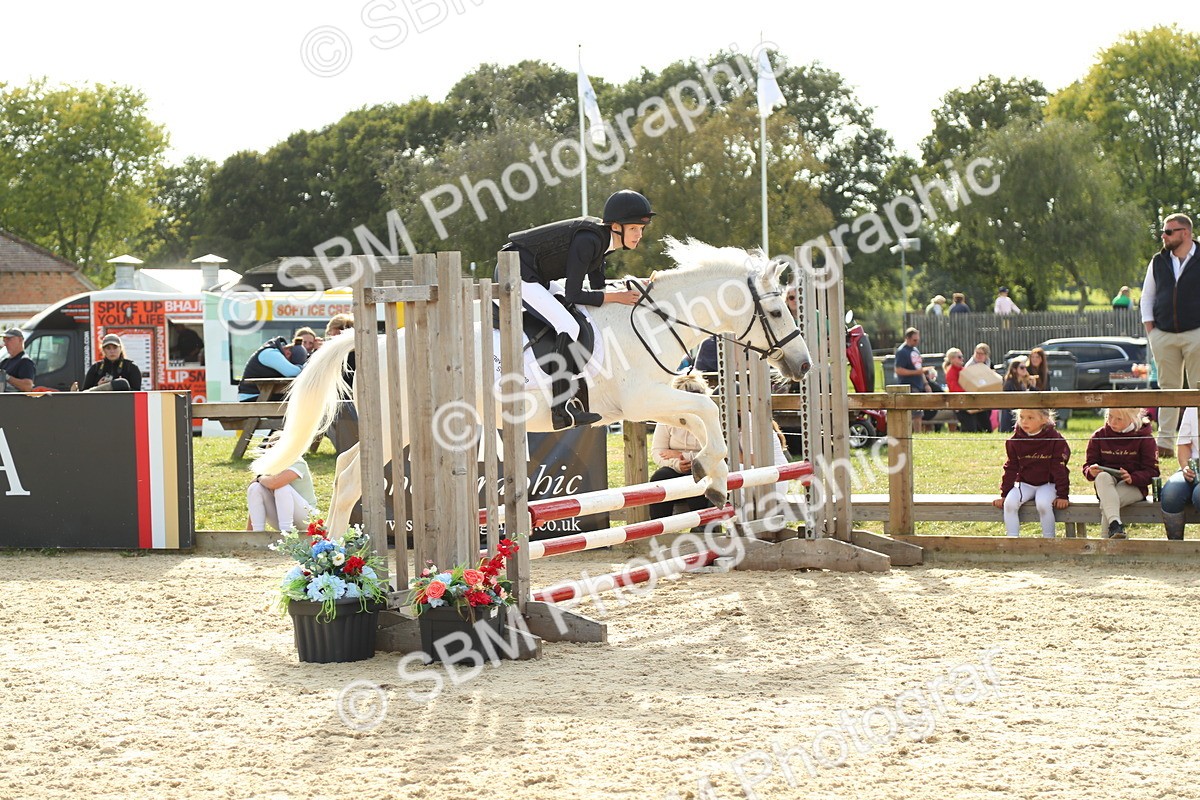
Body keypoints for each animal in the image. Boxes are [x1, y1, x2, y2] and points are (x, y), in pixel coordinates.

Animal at [252, 237, 812, 534]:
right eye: (778, 311)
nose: (803, 366)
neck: (655, 321)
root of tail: (377, 340)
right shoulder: (642, 399)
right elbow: (709, 413)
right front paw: (713, 475)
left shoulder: (653, 402)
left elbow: (700, 413)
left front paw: (707, 471)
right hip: (401, 425)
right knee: (350, 476)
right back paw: (345, 560)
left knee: (348, 468)